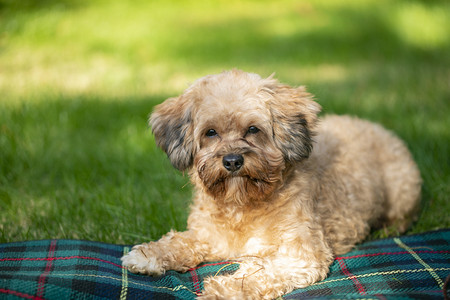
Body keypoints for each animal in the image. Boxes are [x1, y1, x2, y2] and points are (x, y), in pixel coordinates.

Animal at [120, 69, 422, 298]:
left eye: (253, 129)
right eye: (211, 133)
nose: (232, 161)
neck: (241, 207)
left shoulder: (299, 255)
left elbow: (258, 273)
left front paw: (222, 290)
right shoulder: (208, 235)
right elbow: (182, 240)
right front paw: (149, 253)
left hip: (402, 191)